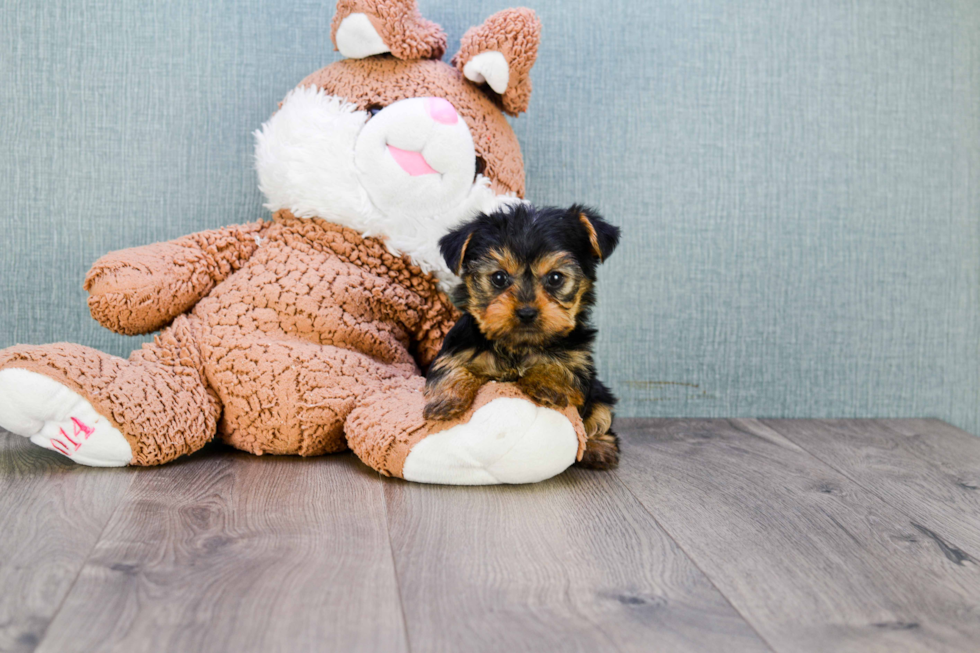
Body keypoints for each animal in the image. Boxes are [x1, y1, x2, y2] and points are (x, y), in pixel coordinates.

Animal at [422, 204, 620, 468]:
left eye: (555, 278)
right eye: (498, 278)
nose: (526, 312)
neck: (519, 345)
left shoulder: (579, 361)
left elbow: (563, 368)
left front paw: (547, 384)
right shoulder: (459, 348)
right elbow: (450, 367)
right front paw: (446, 401)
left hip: (601, 393)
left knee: (601, 414)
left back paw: (599, 448)